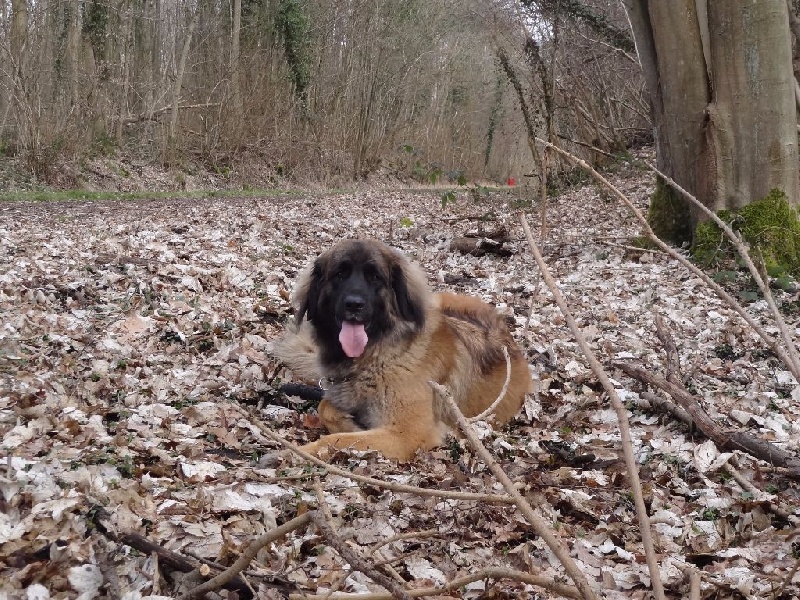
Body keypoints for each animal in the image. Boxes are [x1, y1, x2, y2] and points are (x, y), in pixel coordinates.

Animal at [274, 239, 532, 460]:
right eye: (339, 274)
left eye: (375, 277)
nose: (354, 305)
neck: (378, 356)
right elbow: (324, 406)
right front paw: (349, 422)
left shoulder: (408, 434)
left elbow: (336, 439)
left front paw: (294, 453)